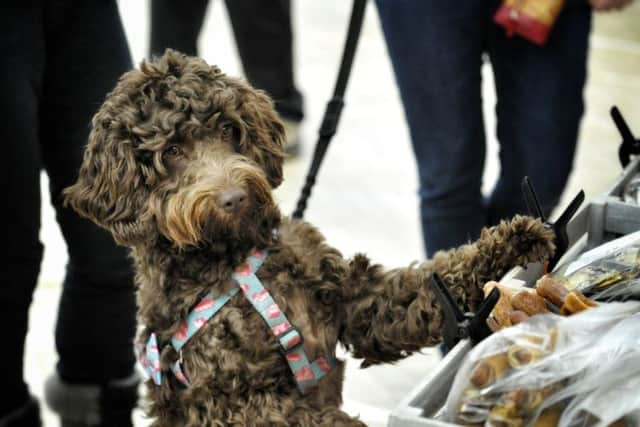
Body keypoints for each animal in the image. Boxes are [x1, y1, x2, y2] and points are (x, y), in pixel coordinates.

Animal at [63, 51, 556, 427]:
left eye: (227, 129)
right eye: (172, 152)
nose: (234, 196)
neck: (233, 261)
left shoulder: (357, 302)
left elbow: (421, 287)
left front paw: (514, 238)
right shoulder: (236, 402)